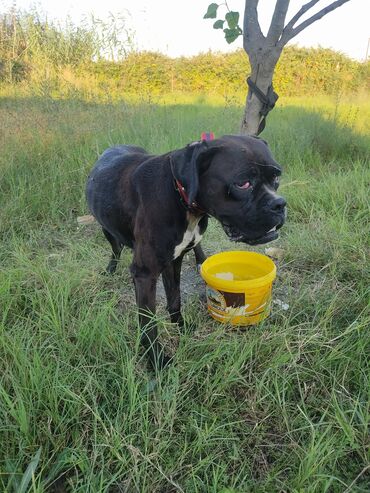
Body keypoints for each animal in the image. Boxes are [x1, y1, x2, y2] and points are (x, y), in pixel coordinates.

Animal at [86, 133, 286, 368]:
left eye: (276, 177)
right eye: (243, 183)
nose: (280, 204)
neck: (179, 196)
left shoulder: (174, 262)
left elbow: (175, 298)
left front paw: (180, 326)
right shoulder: (145, 273)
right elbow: (148, 324)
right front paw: (157, 361)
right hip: (106, 228)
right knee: (115, 249)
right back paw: (110, 269)